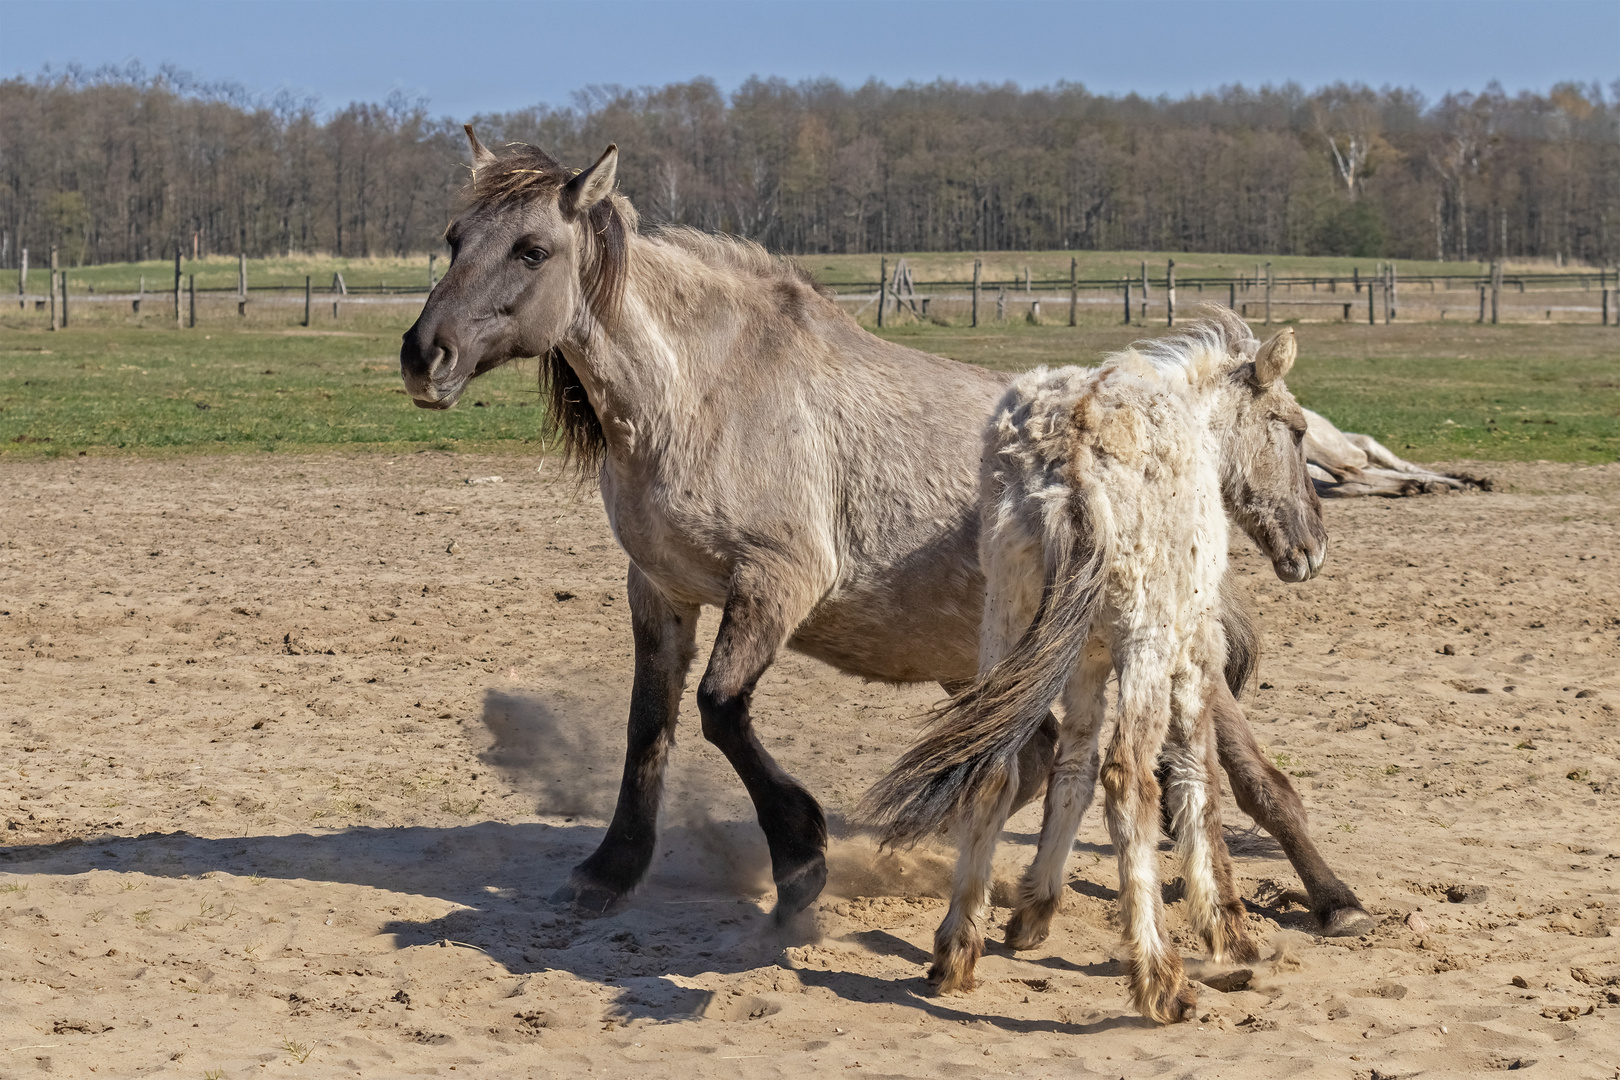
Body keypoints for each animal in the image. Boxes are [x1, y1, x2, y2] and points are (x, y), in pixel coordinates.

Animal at [398, 124, 1373, 939]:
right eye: (453, 238)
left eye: (532, 249)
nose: (423, 357)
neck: (701, 393)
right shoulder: (662, 589)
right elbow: (652, 729)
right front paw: (610, 871)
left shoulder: (777, 584)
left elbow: (720, 709)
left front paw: (801, 862)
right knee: (1032, 759)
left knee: (1248, 775)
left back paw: (1335, 899)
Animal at [868, 317, 1321, 1029]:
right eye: (1296, 429)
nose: (1311, 549)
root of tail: (1074, 452)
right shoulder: (1191, 653)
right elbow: (1195, 776)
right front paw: (1229, 933)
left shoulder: (1085, 661)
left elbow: (1072, 773)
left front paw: (1033, 912)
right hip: (1144, 643)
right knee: (1129, 778)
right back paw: (1161, 979)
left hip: (1007, 627)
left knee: (995, 770)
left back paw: (955, 952)